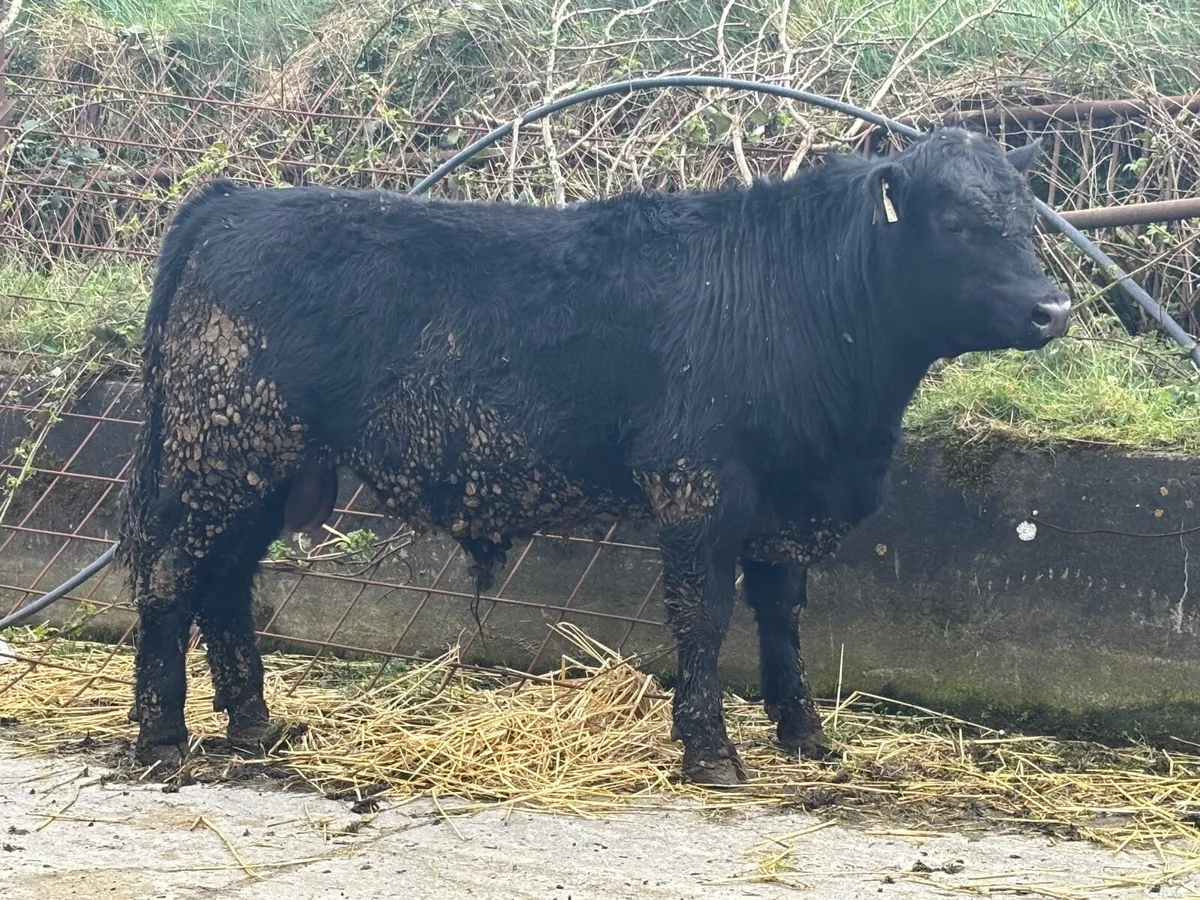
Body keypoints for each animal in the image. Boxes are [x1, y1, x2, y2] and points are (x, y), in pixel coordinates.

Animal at [116, 126, 1069, 784]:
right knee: (170, 578)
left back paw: (255, 725)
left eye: (1029, 220)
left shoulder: (782, 502)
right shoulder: (700, 486)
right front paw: (710, 751)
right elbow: (703, 618)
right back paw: (162, 737)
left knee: (225, 584)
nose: (1052, 308)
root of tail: (234, 200)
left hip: (264, 470)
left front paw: (806, 736)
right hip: (221, 451)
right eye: (956, 222)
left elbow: (782, 618)